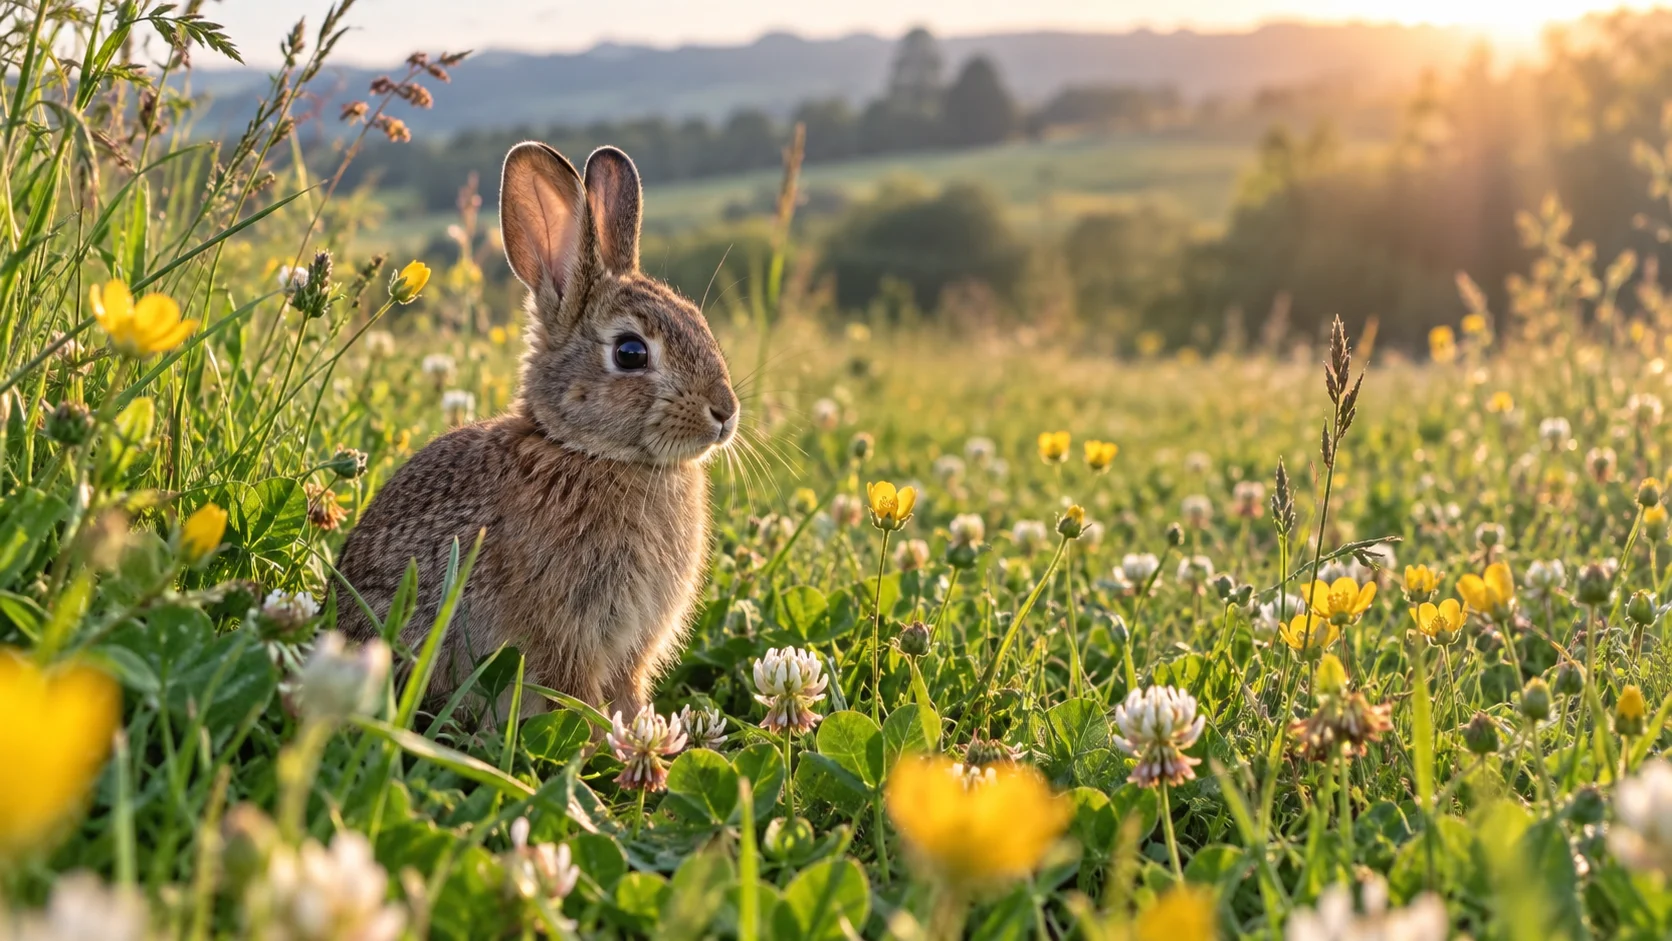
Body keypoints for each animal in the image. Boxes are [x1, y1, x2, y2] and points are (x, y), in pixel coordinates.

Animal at [335, 142, 739, 720]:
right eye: (630, 352)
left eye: (699, 323)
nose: (725, 412)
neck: (589, 452)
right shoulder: (566, 637)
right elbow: (578, 699)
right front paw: (605, 741)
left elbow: (626, 694)